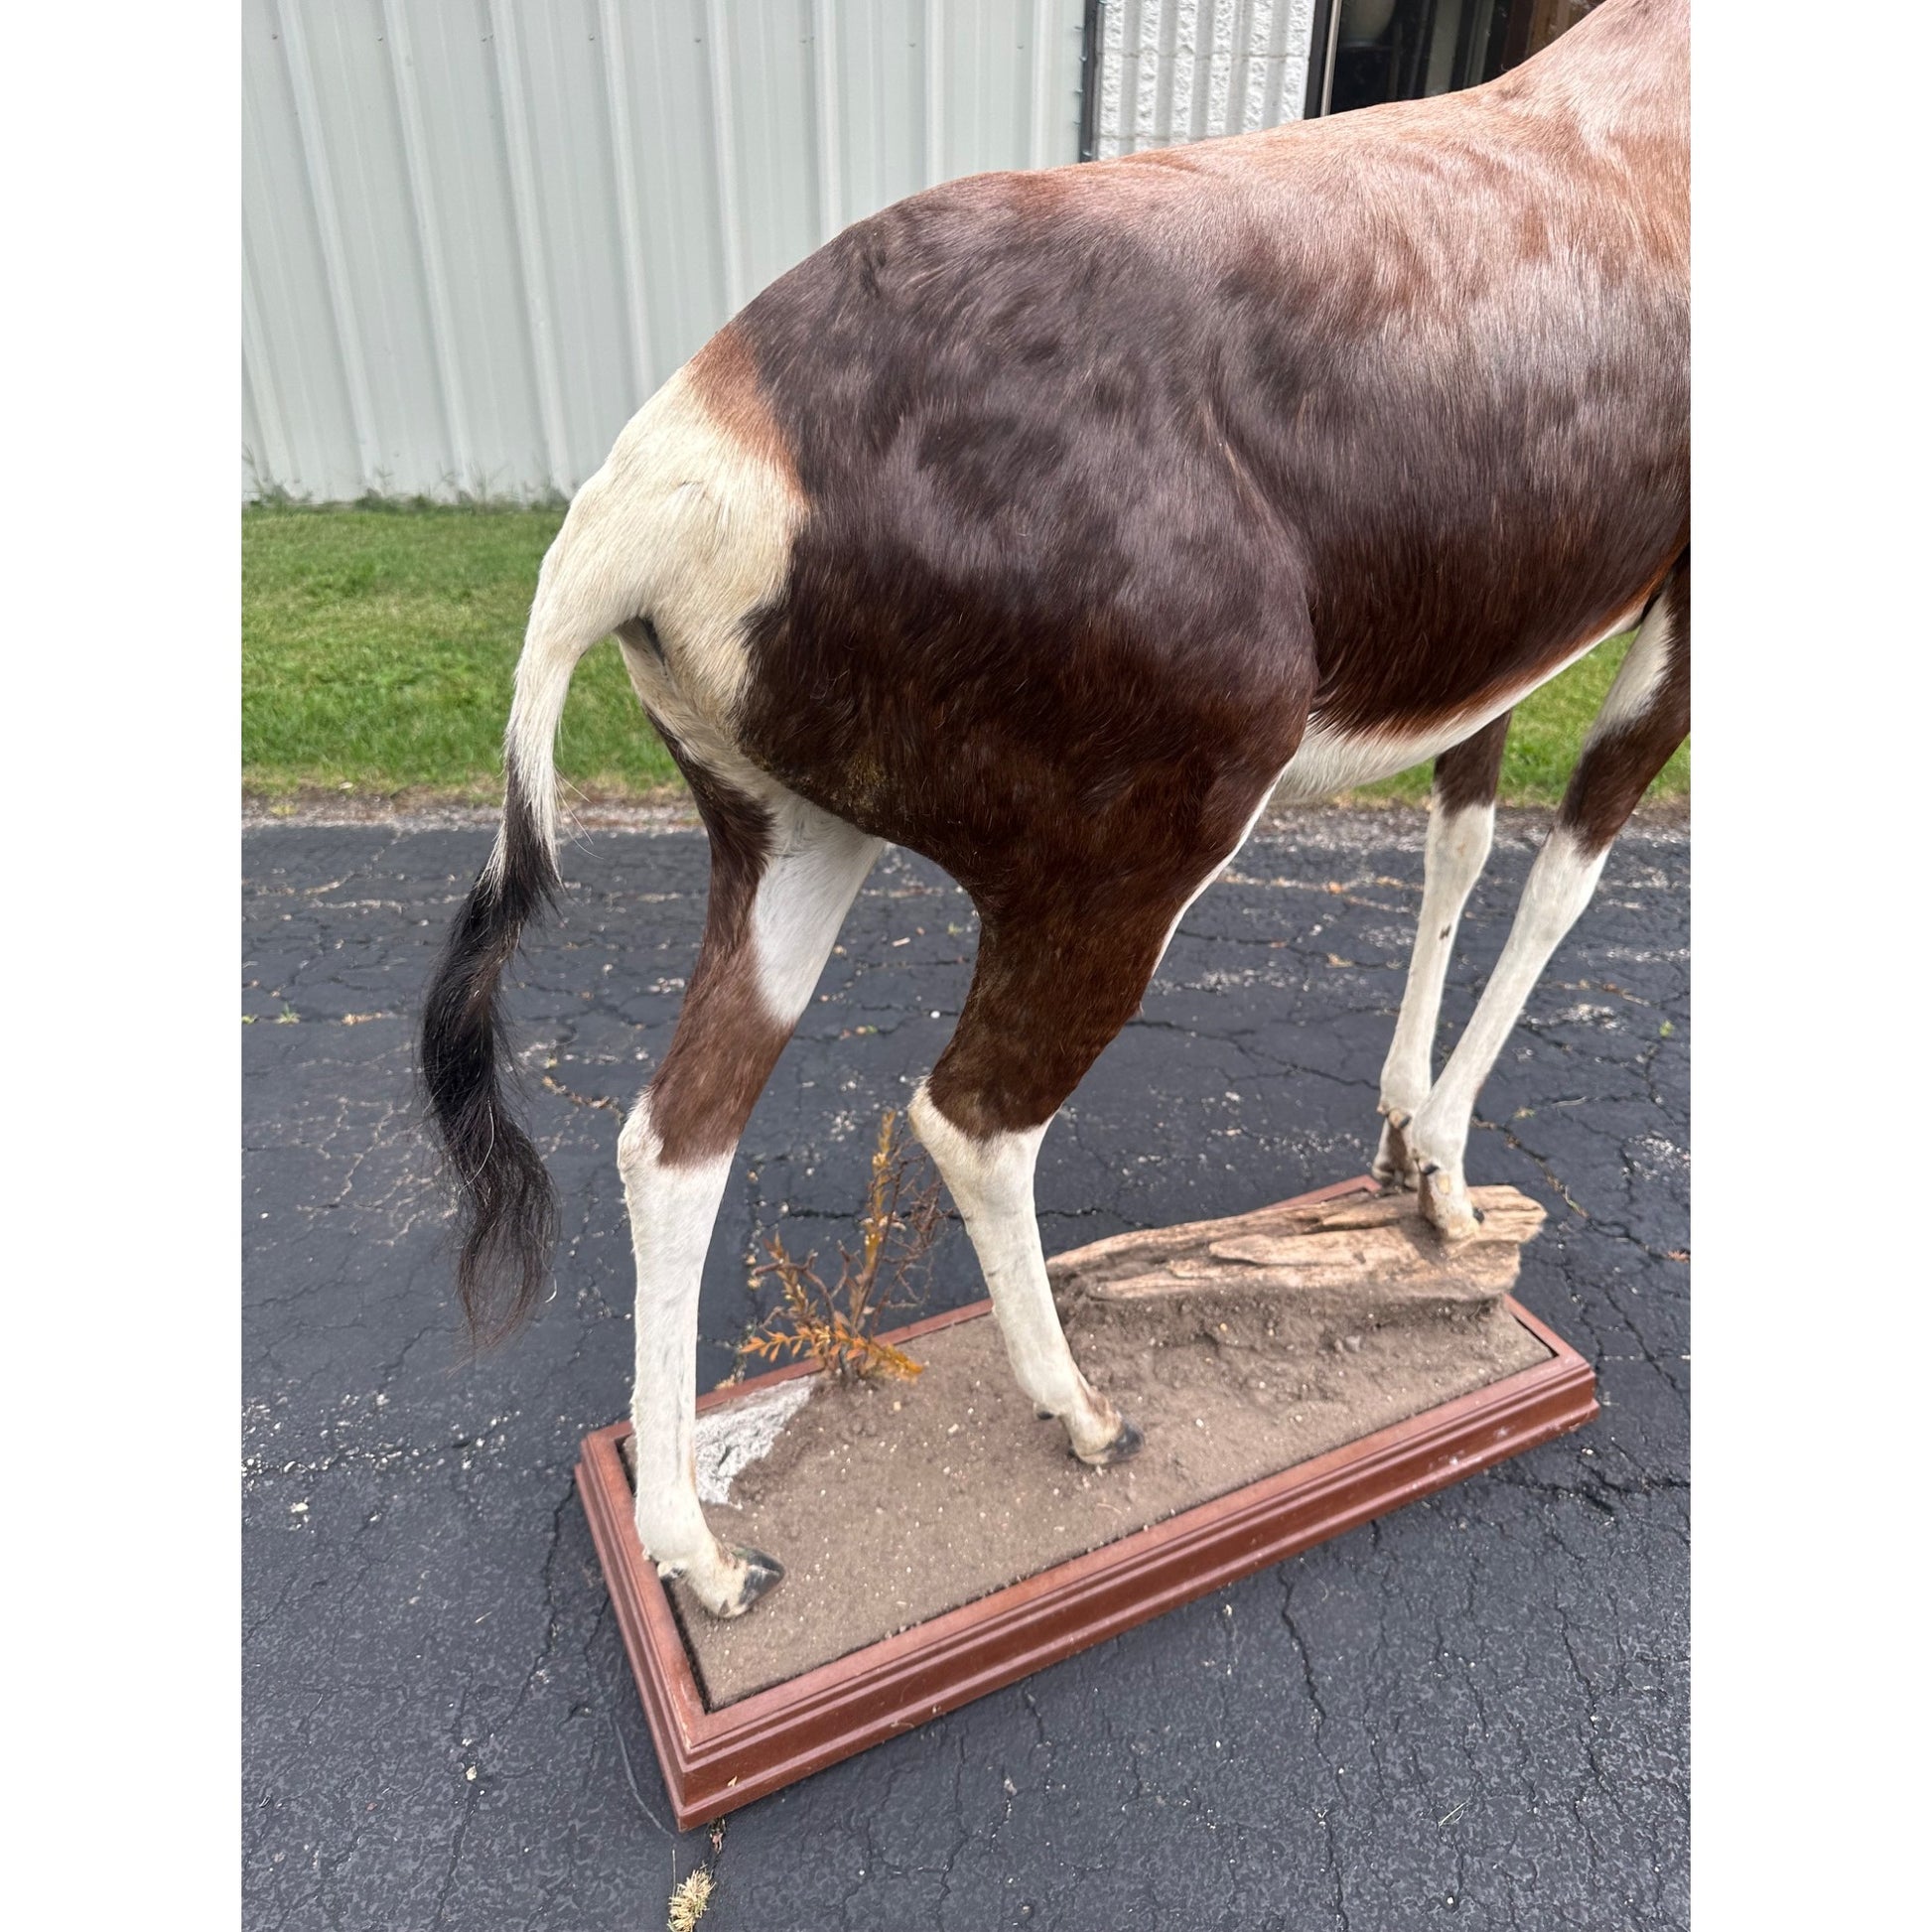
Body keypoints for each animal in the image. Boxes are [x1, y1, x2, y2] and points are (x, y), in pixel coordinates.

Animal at [422, 0, 1688, 1618]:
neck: (1629, 120)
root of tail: (680, 471)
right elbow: (1561, 878)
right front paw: (1451, 1185)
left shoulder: (1488, 653)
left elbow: (1458, 845)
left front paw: (1402, 1149)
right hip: (1125, 865)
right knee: (970, 1117)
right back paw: (1081, 1412)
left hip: (787, 842)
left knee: (675, 1135)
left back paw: (702, 1559)